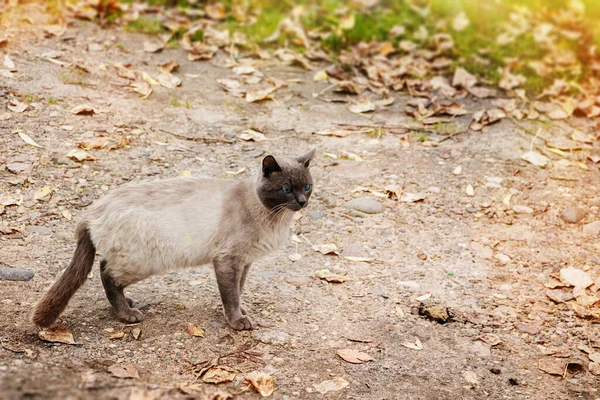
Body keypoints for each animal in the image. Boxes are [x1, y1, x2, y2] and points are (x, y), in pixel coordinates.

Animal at [32, 148, 316, 330]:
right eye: (286, 190)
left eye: (307, 187)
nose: (302, 202)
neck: (274, 218)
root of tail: (93, 210)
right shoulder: (227, 260)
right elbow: (231, 296)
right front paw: (238, 322)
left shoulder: (244, 262)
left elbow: (238, 290)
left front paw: (242, 312)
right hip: (143, 261)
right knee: (106, 274)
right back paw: (127, 314)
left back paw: (128, 303)